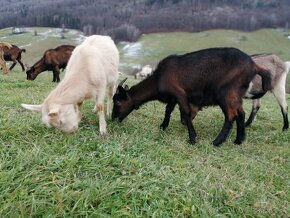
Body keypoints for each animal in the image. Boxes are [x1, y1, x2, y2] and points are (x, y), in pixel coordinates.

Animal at [111, 47, 272, 146]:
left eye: (117, 102)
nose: (113, 119)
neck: (158, 80)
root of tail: (254, 66)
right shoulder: (173, 97)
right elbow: (168, 110)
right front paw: (163, 126)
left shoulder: (180, 94)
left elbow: (186, 113)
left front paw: (192, 138)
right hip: (236, 93)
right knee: (241, 113)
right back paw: (239, 140)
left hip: (226, 92)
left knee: (231, 115)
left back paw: (217, 142)